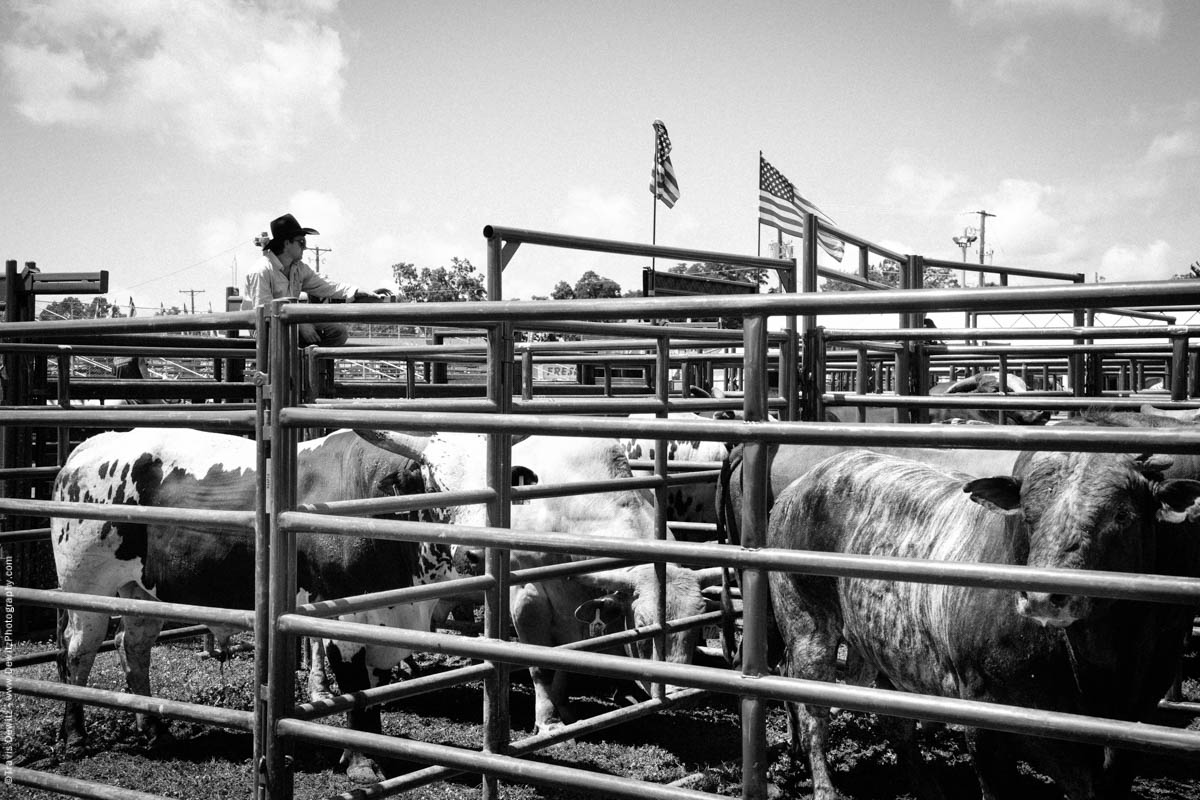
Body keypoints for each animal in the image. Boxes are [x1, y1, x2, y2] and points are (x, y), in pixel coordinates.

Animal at [54, 429, 463, 786]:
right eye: (435, 487)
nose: (472, 555)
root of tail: (87, 449)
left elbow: (373, 690)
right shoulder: (341, 619)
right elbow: (357, 689)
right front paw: (363, 764)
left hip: (143, 594)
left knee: (132, 647)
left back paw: (155, 730)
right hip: (86, 590)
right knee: (79, 652)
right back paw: (75, 735)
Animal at [357, 429, 720, 734]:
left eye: (700, 623)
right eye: (644, 626)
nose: (682, 691)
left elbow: (564, 662)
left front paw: (565, 709)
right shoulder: (527, 600)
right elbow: (540, 667)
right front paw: (547, 721)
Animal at [768, 417, 1200, 796]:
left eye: (1122, 515)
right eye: (1028, 513)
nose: (1043, 596)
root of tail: (807, 481)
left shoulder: (1132, 724)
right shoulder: (984, 719)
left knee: (892, 717)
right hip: (807, 626)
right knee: (812, 709)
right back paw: (824, 785)